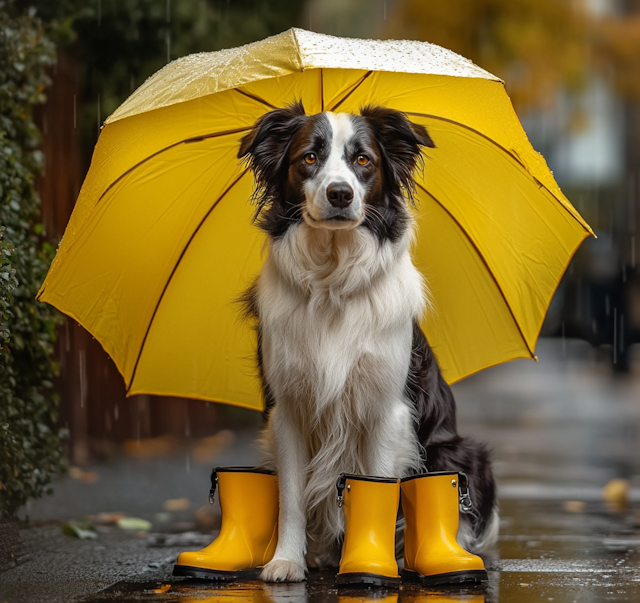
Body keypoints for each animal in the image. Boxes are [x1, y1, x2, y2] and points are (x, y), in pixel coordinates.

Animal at [238, 101, 498, 584]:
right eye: (309, 157)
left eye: (363, 160)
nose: (340, 194)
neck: (332, 281)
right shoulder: (287, 411)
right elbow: (291, 496)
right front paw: (286, 561)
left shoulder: (385, 410)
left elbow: (377, 488)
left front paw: (371, 564)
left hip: (456, 450)